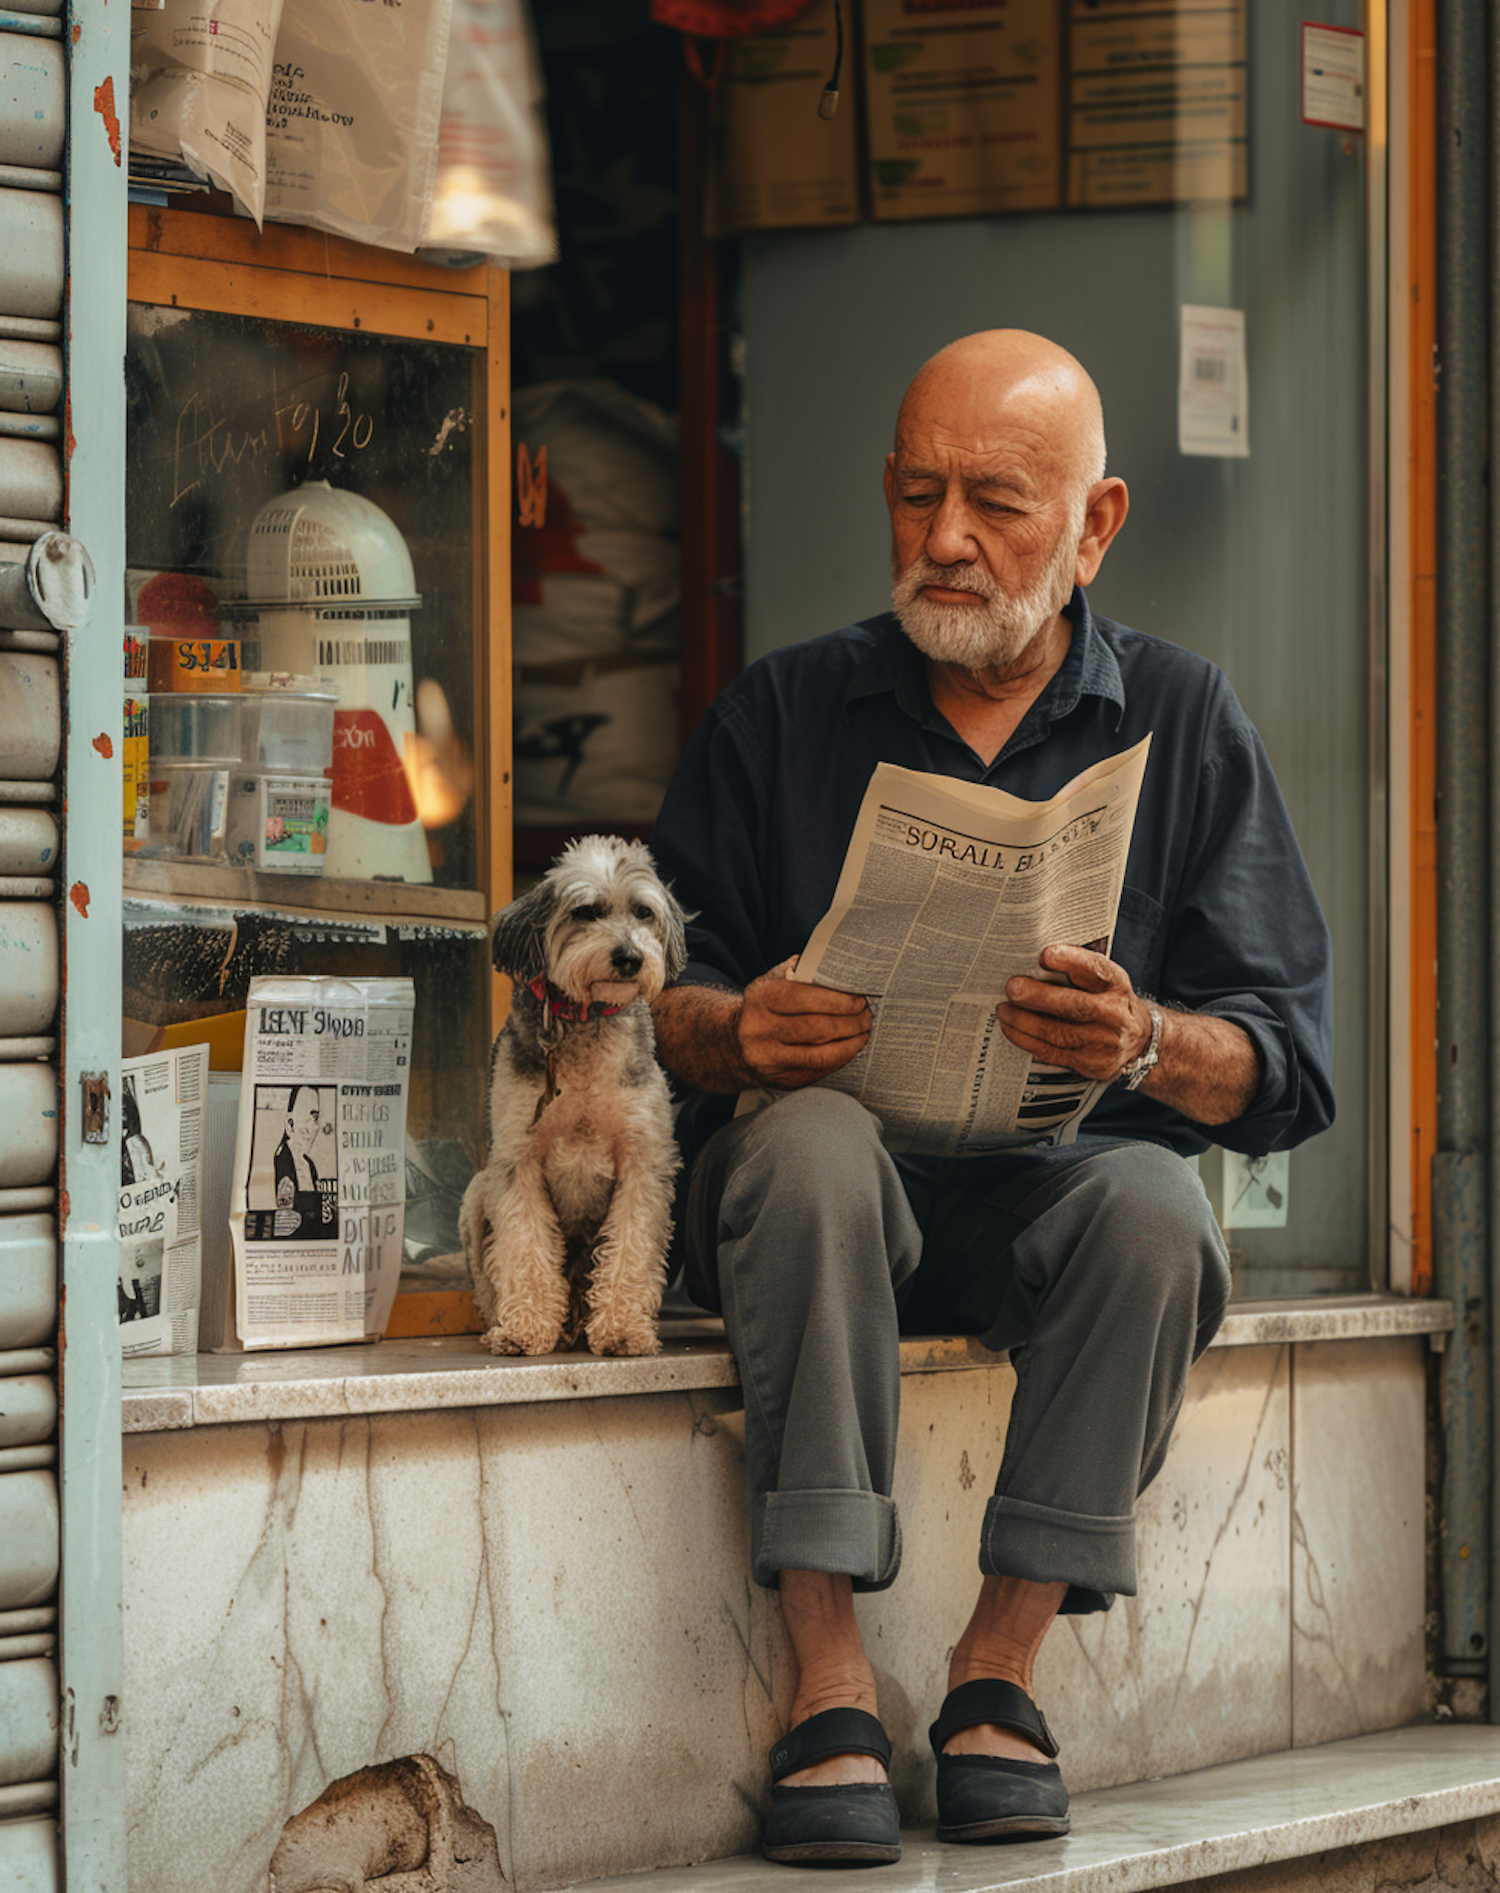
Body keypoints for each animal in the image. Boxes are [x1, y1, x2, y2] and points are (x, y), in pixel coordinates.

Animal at [460, 836, 689, 1355]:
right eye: (586, 912)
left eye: (643, 912)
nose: (629, 957)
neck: (586, 1020)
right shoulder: (516, 1161)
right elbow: (525, 1248)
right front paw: (526, 1328)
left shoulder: (643, 1161)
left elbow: (630, 1250)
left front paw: (622, 1329)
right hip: (475, 1197)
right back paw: (509, 1325)